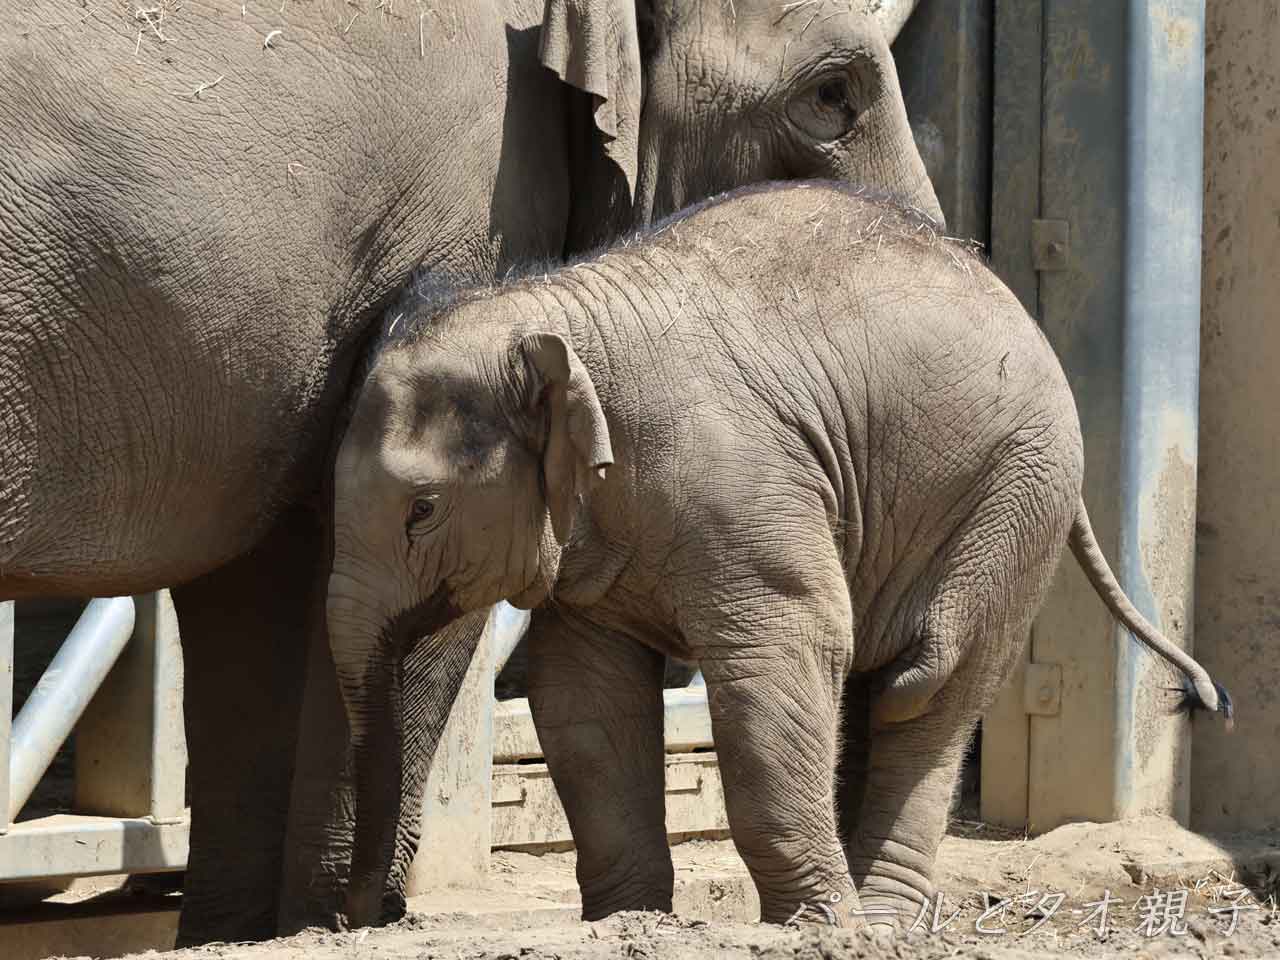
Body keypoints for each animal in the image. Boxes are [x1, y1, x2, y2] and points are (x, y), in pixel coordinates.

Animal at [0, 0, 942, 947]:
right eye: (832, 94)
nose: (369, 912)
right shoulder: (468, 216)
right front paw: (322, 922)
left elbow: (257, 594)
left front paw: (243, 934)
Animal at [330, 180, 1228, 931]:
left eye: (422, 510)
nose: (360, 917)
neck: (557, 316)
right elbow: (584, 694)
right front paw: (629, 922)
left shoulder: (743, 488)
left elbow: (782, 655)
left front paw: (815, 926)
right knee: (886, 688)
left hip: (1015, 497)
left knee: (928, 683)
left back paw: (878, 924)